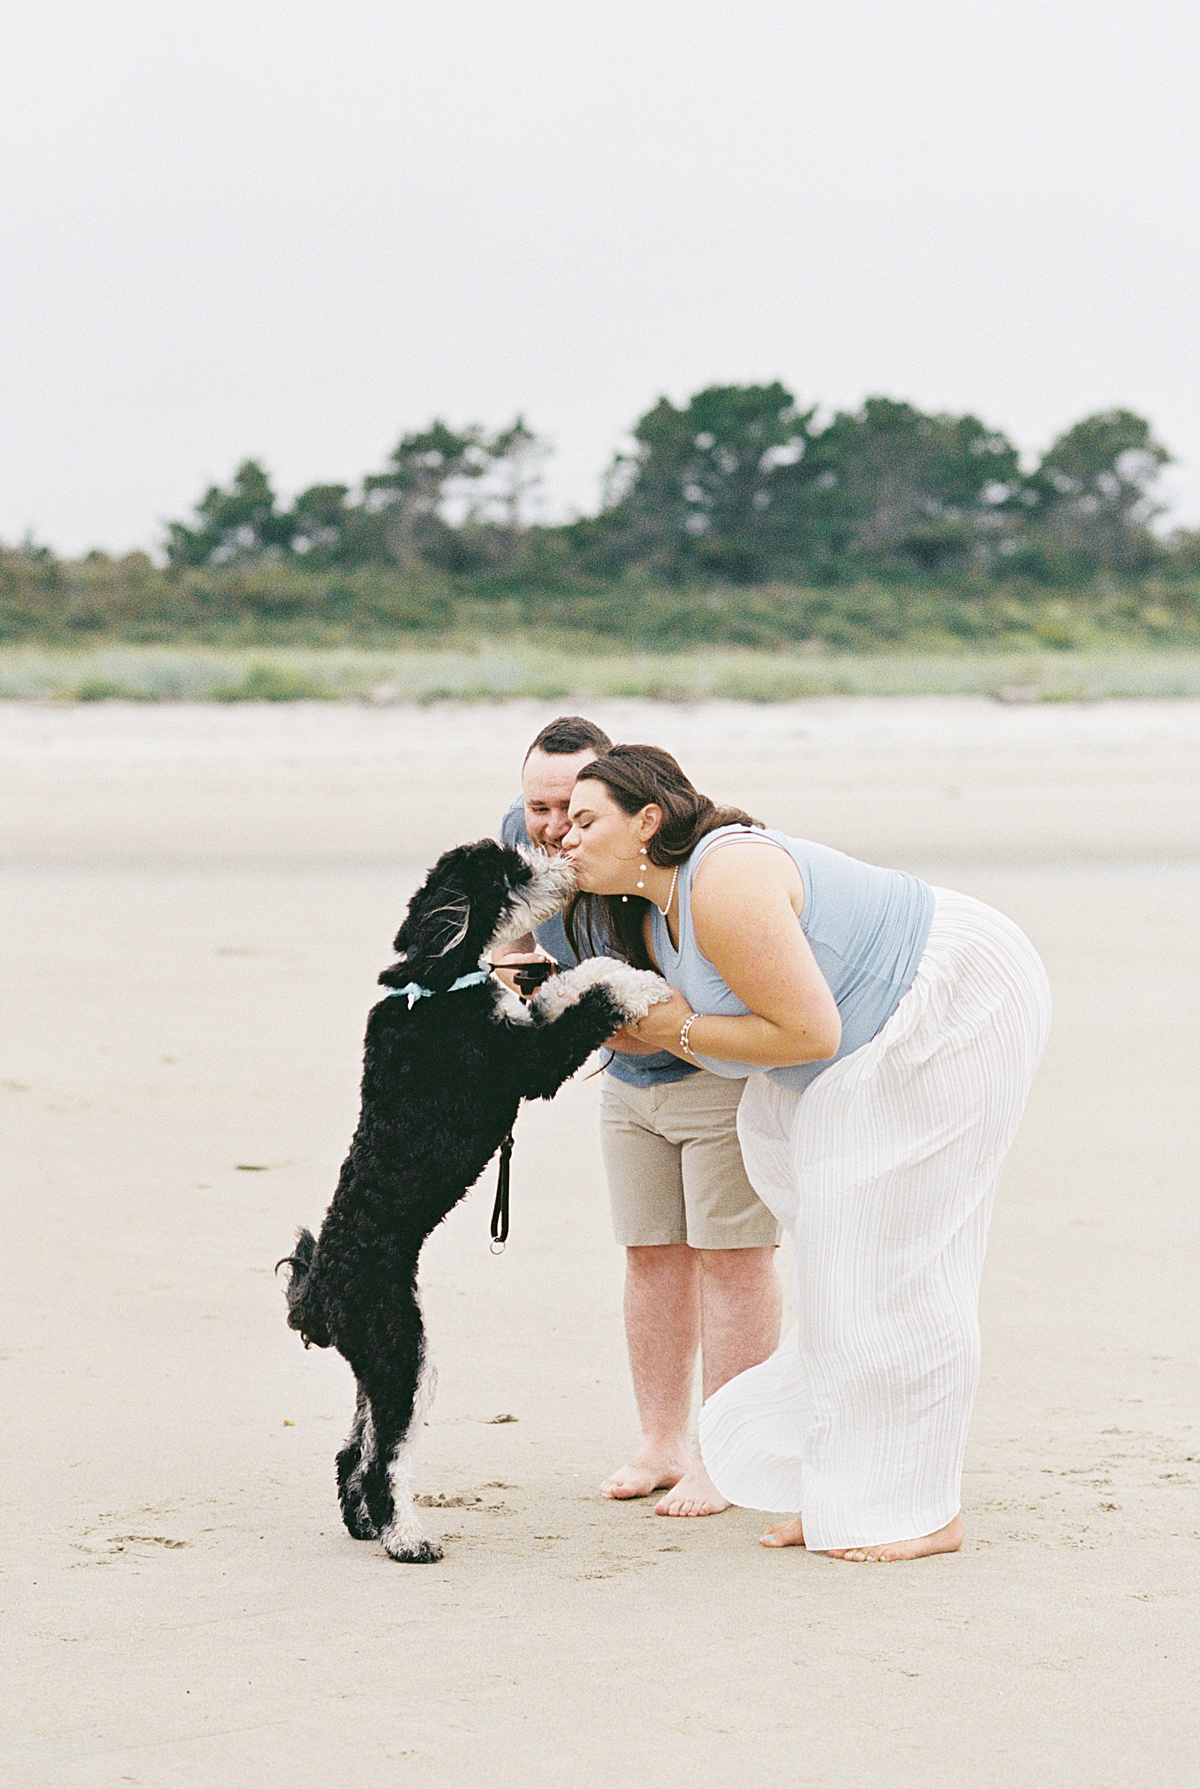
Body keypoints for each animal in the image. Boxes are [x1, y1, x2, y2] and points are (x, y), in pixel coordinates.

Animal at [282, 844, 676, 1560]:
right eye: (514, 873)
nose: (562, 863)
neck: (435, 984)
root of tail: (320, 1293)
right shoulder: (529, 1064)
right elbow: (583, 1006)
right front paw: (636, 985)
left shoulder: (521, 1028)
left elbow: (557, 991)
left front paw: (600, 970)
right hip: (402, 1352)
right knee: (386, 1460)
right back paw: (407, 1539)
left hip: (381, 1363)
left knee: (356, 1448)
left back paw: (366, 1526)